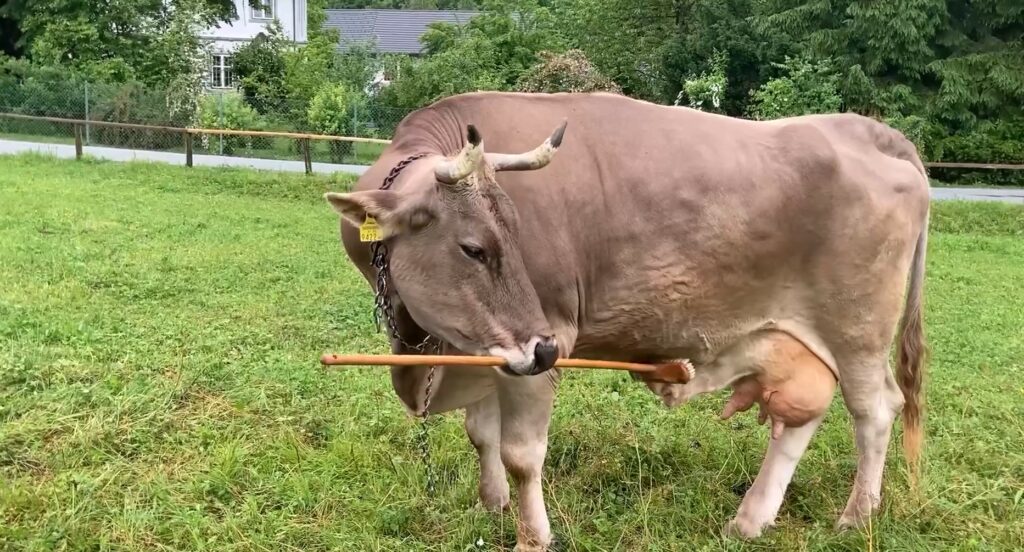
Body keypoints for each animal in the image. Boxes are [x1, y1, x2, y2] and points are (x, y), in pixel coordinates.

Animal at [324, 92, 929, 551]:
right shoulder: (489, 348)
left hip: (858, 331)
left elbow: (522, 455)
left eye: (517, 236)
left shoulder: (543, 340)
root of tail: (862, 128)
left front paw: (531, 536)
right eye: (474, 248)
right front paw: (491, 506)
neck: (424, 349)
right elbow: (481, 434)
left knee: (876, 410)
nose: (545, 350)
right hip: (797, 340)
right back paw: (750, 519)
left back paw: (856, 515)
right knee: (800, 417)